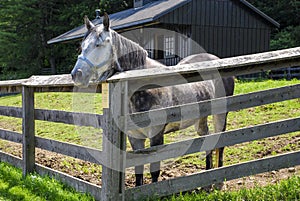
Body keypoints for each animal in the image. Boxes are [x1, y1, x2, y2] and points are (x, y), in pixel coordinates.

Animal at [71, 13, 234, 187]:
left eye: (98, 44)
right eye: (82, 46)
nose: (77, 74)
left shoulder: (156, 137)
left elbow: (154, 171)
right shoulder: (135, 138)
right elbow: (138, 172)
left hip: (221, 114)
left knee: (220, 141)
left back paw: (219, 182)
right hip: (200, 118)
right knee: (207, 138)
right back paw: (207, 177)